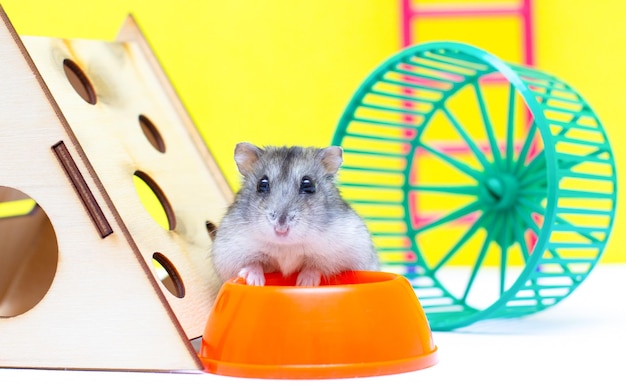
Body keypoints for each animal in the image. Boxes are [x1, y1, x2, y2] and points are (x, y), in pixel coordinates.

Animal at [210, 142, 378, 288]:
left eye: (308, 184)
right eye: (262, 184)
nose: (281, 227)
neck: (287, 246)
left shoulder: (342, 251)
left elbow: (316, 266)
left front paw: (304, 283)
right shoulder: (230, 251)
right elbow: (252, 263)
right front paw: (254, 282)